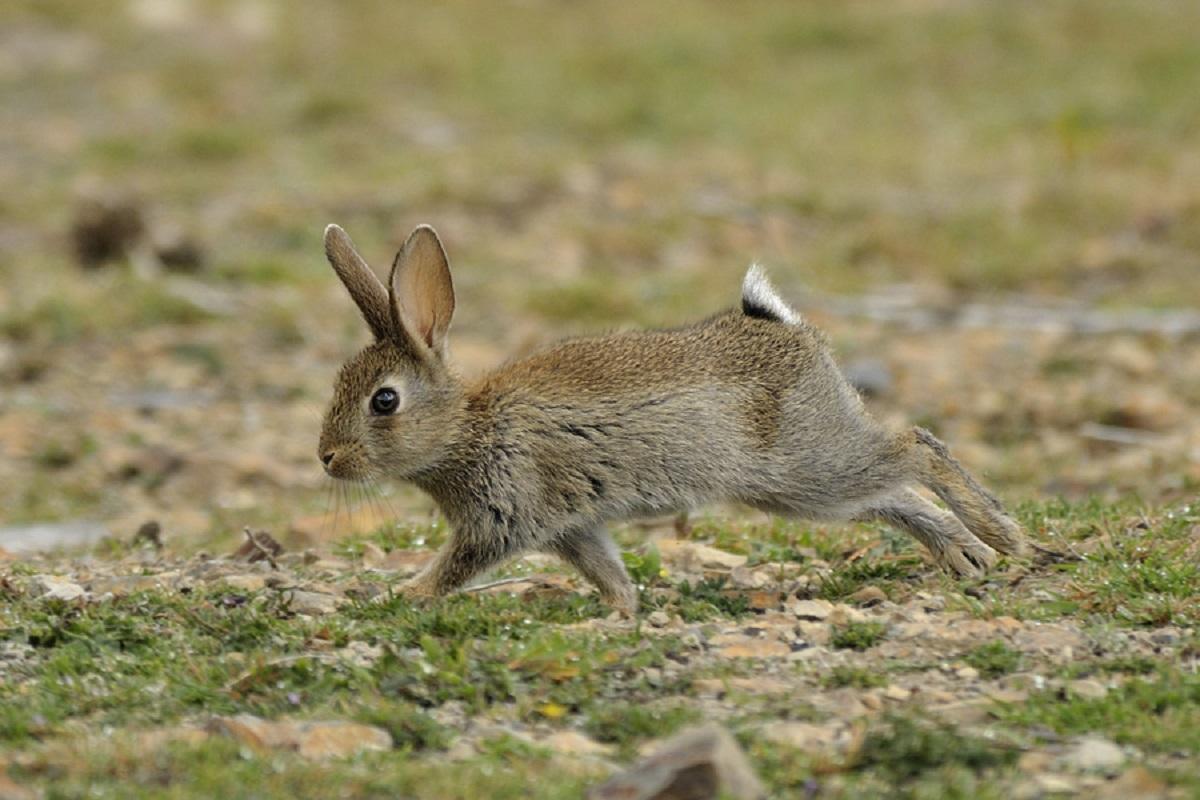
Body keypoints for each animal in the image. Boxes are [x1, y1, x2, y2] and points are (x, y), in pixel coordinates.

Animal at [316, 224, 1022, 614]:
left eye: (384, 401)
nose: (326, 457)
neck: (467, 430)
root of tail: (788, 331)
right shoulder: (574, 529)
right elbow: (608, 572)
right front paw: (620, 613)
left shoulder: (501, 519)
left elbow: (454, 569)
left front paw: (398, 597)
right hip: (806, 481)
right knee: (894, 493)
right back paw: (965, 556)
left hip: (803, 468)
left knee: (915, 447)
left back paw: (1003, 537)